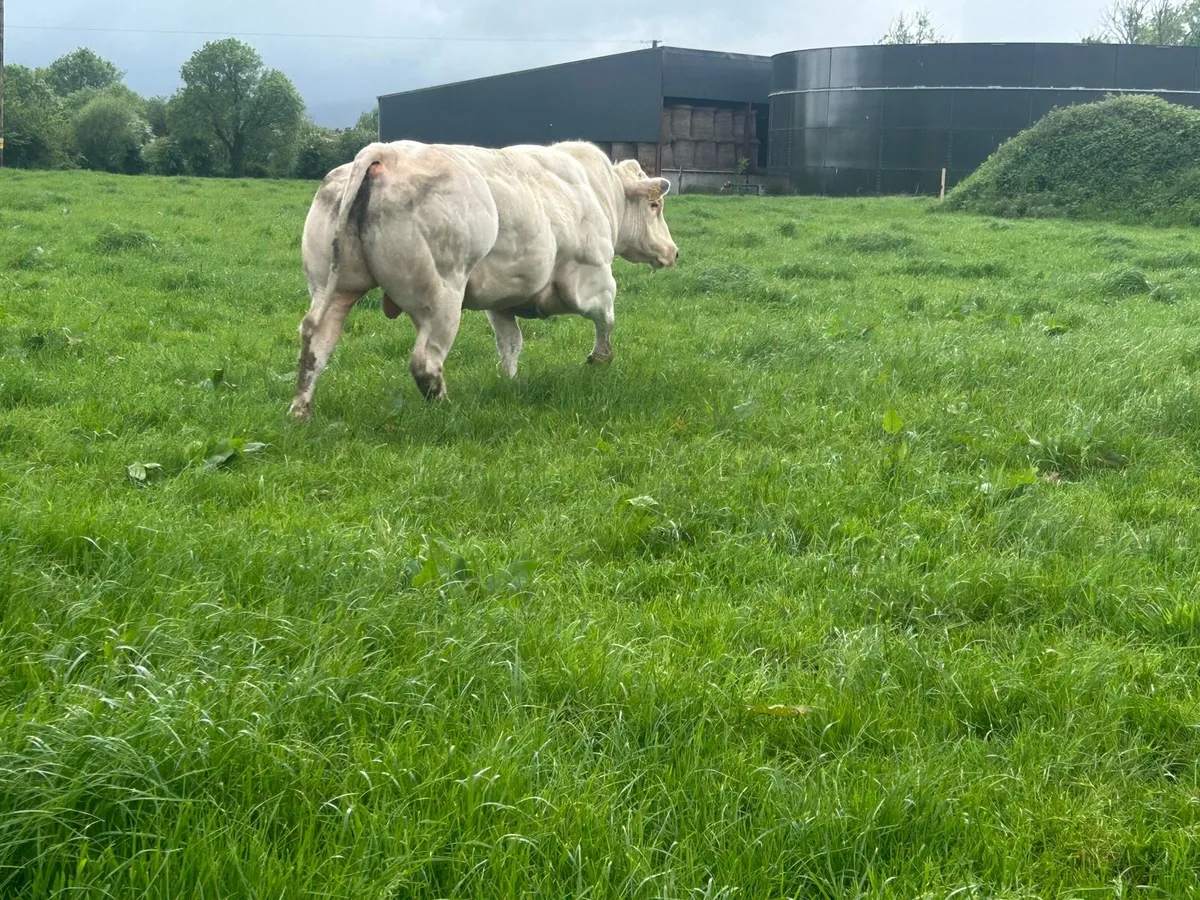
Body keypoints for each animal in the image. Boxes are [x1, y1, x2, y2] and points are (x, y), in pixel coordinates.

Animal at [288, 139, 679, 420]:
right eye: (655, 206)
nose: (673, 252)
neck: (599, 192)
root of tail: (384, 152)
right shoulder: (592, 277)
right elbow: (607, 318)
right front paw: (599, 359)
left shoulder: (501, 300)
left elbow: (510, 344)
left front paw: (510, 383)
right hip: (441, 297)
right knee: (425, 361)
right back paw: (447, 410)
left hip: (334, 287)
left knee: (316, 343)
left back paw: (301, 412)